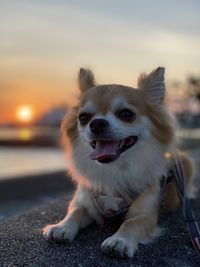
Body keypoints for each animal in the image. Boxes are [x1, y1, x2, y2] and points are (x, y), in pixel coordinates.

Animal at [42, 68, 194, 258]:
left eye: (126, 114)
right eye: (83, 117)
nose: (97, 123)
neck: (113, 169)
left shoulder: (146, 215)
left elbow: (130, 223)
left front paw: (119, 241)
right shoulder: (85, 202)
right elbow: (74, 212)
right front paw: (61, 227)